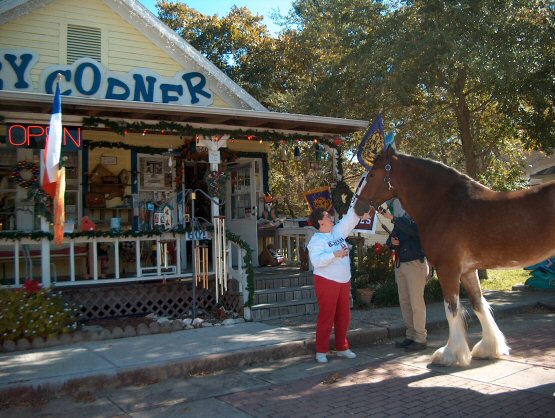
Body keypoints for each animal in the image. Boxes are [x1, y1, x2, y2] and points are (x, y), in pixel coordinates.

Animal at [354, 146, 555, 366]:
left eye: (372, 175)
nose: (357, 207)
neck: (445, 204)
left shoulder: (447, 269)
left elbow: (452, 308)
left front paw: (450, 354)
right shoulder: (468, 271)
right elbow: (478, 304)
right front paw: (489, 348)